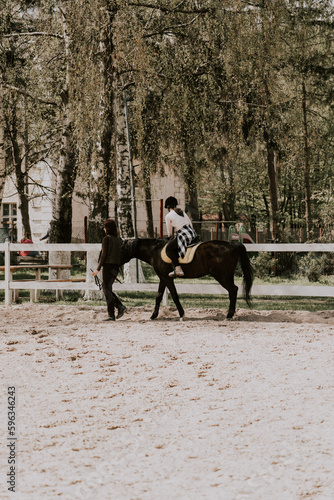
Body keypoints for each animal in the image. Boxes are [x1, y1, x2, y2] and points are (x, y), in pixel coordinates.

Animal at [121, 238, 254, 320]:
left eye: (122, 249)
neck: (155, 251)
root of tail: (231, 244)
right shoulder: (163, 278)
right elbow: (158, 296)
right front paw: (153, 315)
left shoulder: (167, 279)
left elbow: (174, 295)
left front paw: (181, 314)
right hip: (227, 275)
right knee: (233, 291)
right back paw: (230, 314)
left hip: (221, 276)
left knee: (233, 290)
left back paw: (229, 315)